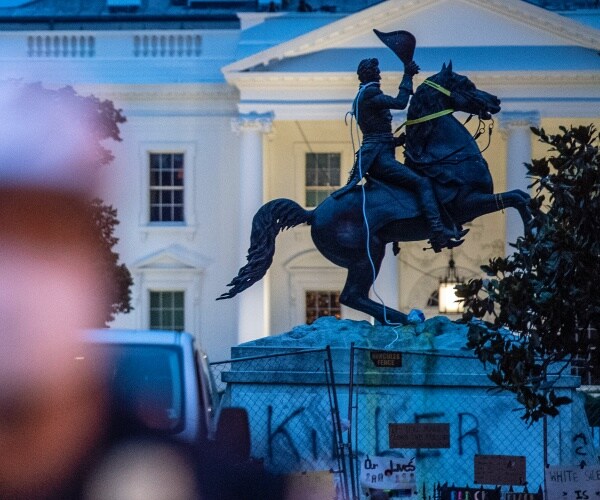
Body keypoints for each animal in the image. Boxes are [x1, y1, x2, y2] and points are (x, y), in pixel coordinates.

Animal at [218, 62, 532, 326]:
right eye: (466, 83)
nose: (496, 101)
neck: (448, 156)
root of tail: (313, 213)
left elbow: (522, 196)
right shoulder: (467, 204)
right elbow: (516, 197)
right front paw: (530, 237)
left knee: (356, 296)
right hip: (368, 251)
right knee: (351, 296)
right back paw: (406, 318)